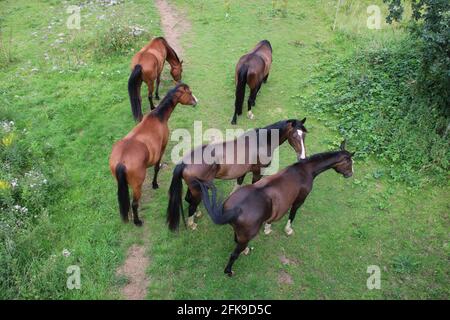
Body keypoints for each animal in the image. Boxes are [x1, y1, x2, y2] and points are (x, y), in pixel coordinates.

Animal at [109, 84, 197, 226]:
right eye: (189, 93)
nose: (196, 101)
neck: (158, 117)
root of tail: (122, 161)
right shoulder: (162, 149)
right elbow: (156, 168)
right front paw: (155, 184)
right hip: (137, 186)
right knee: (134, 204)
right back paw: (137, 221)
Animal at [167, 117, 308, 230]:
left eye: (304, 136)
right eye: (294, 135)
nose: (303, 158)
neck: (261, 142)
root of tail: (184, 162)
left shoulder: (243, 172)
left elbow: (238, 185)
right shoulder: (257, 173)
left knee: (189, 199)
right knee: (192, 204)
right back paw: (192, 224)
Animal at [195, 141, 354, 276]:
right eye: (350, 163)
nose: (350, 174)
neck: (304, 170)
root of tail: (234, 210)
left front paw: (268, 228)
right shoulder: (299, 201)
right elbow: (292, 215)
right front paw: (288, 230)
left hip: (241, 233)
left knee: (236, 240)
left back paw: (245, 250)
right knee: (234, 254)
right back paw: (229, 271)